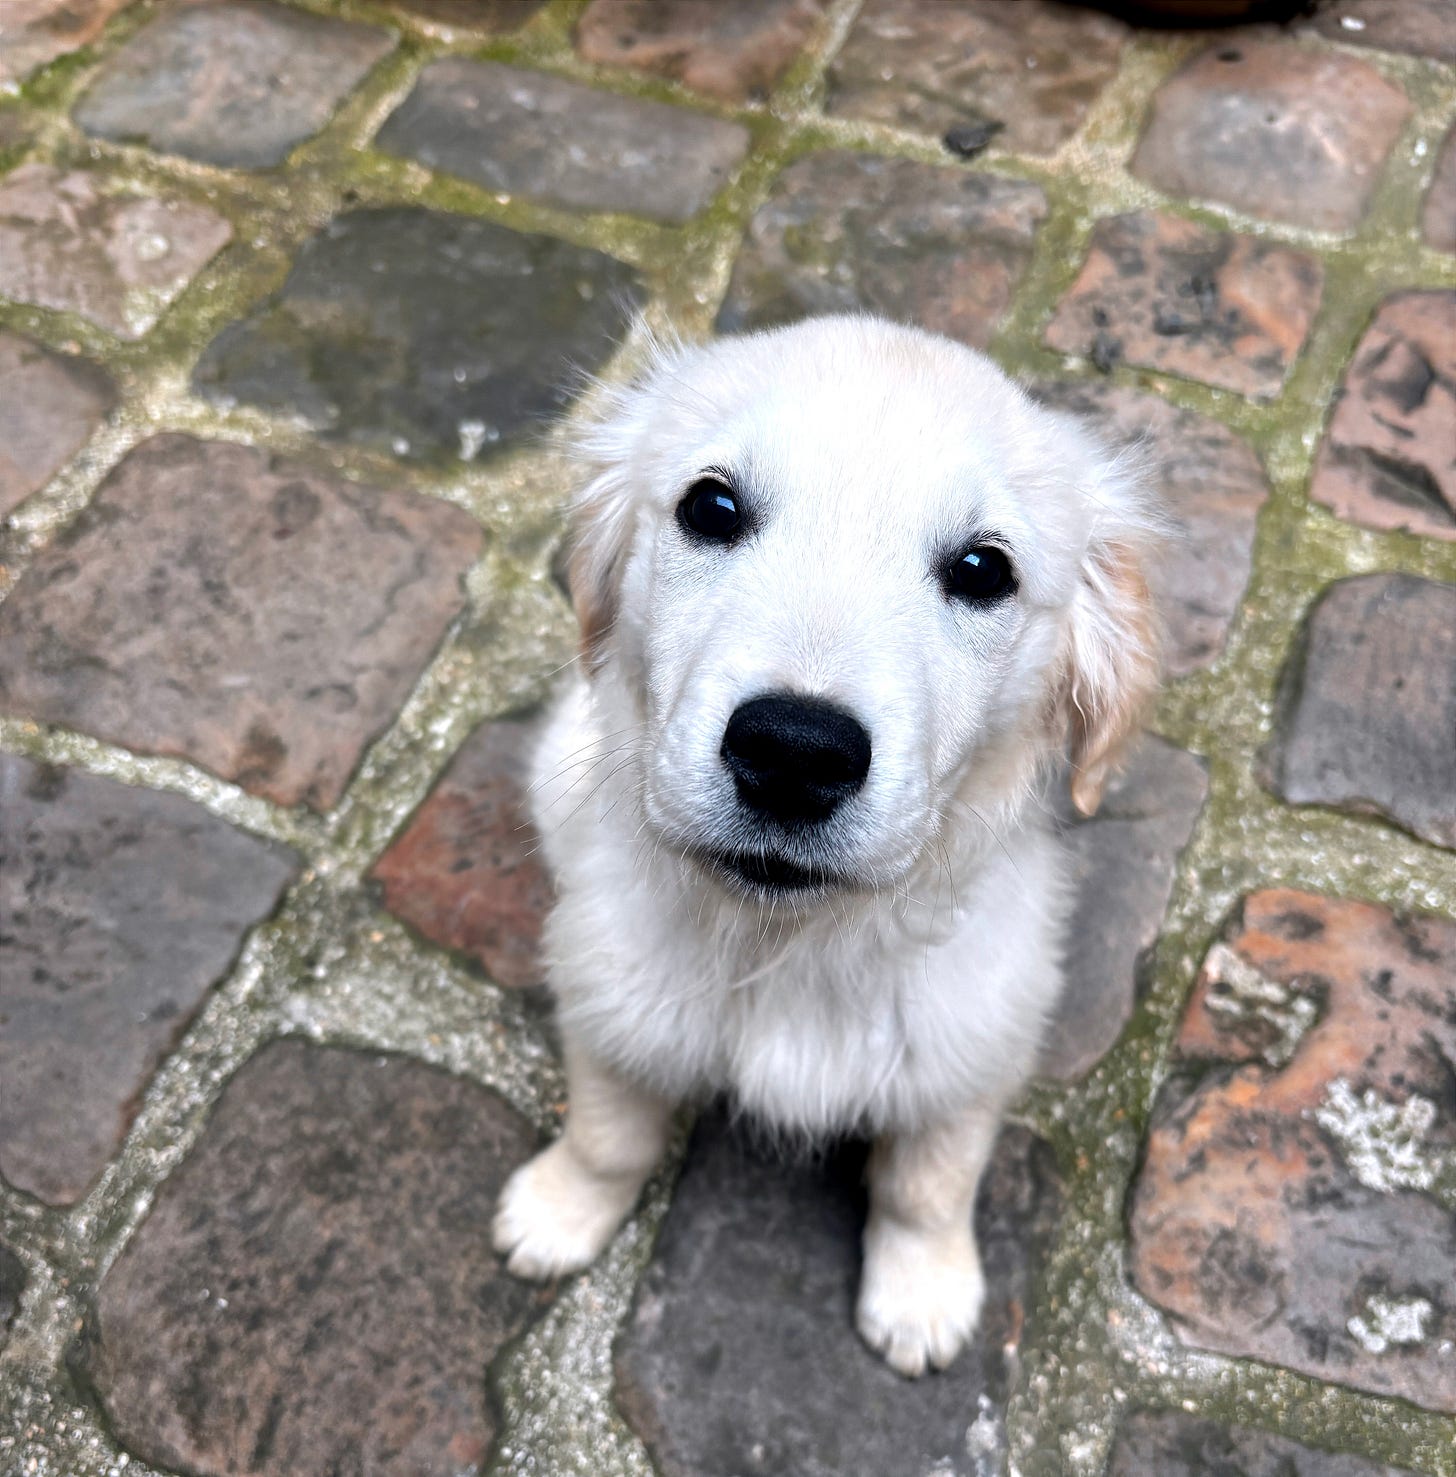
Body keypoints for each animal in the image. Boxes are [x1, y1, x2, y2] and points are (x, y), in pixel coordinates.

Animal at [492, 314, 1162, 1377]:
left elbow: (927, 1184)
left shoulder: (973, 1040)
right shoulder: (613, 995)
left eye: (984, 569)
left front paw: (922, 1295)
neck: (792, 944)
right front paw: (560, 1210)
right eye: (712, 506)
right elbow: (608, 1134)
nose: (795, 753)